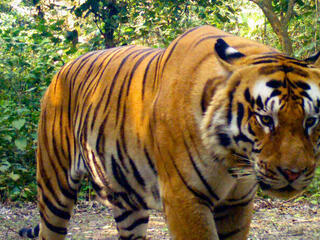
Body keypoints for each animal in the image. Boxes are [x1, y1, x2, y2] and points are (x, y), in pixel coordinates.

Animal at [19, 25, 320, 239]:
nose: (293, 174)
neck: (235, 159)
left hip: (127, 201)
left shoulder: (239, 203)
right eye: (266, 119)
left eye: (311, 120)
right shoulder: (184, 199)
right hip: (54, 185)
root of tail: (62, 68)